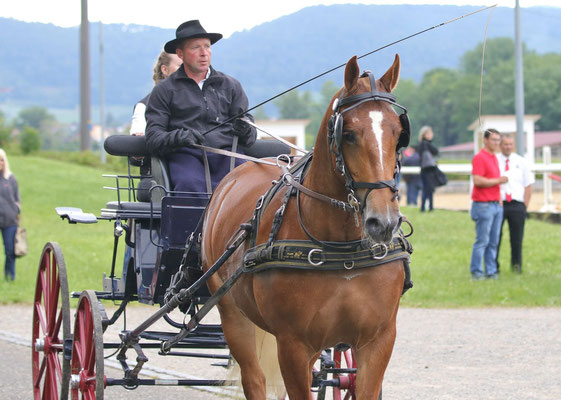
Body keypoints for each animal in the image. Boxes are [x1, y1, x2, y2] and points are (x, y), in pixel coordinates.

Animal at [201, 54, 412, 400]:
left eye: (398, 134)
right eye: (348, 133)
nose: (383, 221)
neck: (342, 250)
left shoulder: (378, 341)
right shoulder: (294, 345)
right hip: (233, 314)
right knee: (254, 379)